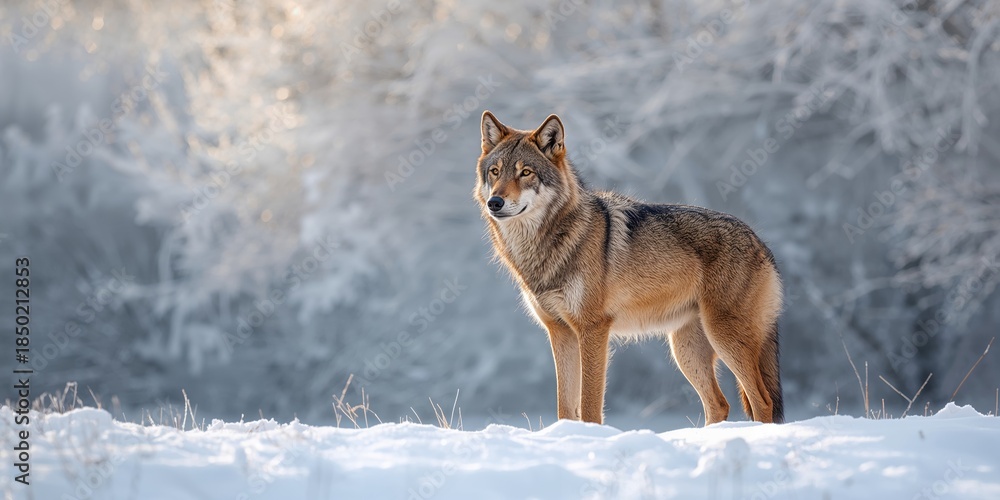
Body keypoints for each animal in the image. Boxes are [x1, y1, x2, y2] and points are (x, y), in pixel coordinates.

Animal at [474, 111, 784, 425]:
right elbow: (565, 408)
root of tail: (761, 242)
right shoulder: (560, 332)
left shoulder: (593, 329)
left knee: (762, 401)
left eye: (525, 173)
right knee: (719, 404)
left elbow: (589, 406)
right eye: (495, 172)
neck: (545, 246)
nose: (495, 202)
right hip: (686, 350)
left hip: (723, 337)